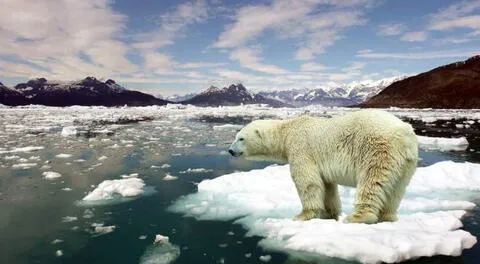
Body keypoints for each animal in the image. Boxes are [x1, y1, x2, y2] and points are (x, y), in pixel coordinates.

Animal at [227, 110, 418, 224]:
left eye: (241, 138)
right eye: (236, 137)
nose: (230, 150)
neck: (287, 131)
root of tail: (405, 134)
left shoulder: (301, 148)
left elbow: (307, 181)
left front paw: (303, 215)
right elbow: (327, 186)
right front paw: (330, 214)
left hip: (377, 149)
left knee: (372, 181)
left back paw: (358, 217)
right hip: (406, 163)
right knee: (396, 189)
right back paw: (387, 217)